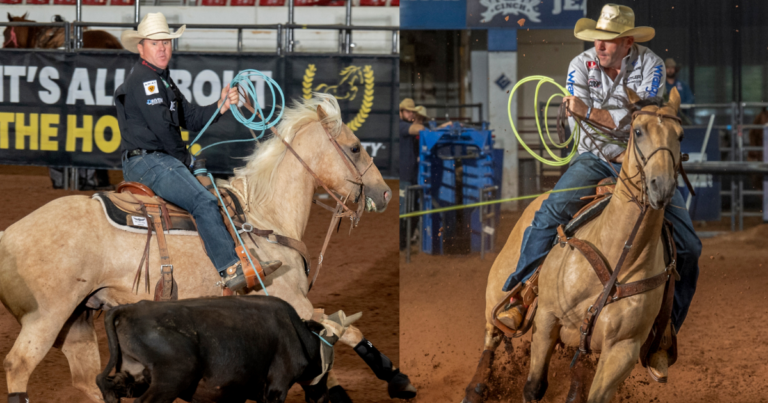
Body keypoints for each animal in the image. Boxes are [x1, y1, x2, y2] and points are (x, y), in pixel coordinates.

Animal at [0, 93, 414, 402]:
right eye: (356, 148)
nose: (385, 193)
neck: (264, 216)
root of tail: (8, 235)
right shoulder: (292, 301)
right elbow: (347, 331)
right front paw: (398, 380)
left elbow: (334, 340)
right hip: (46, 318)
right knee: (18, 366)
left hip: (79, 321)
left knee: (86, 381)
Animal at [462, 88, 684, 403]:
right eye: (638, 131)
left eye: (680, 135)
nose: (661, 186)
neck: (618, 256)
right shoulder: (547, 319)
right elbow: (533, 387)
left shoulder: (623, 349)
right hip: (497, 287)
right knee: (492, 334)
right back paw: (476, 386)